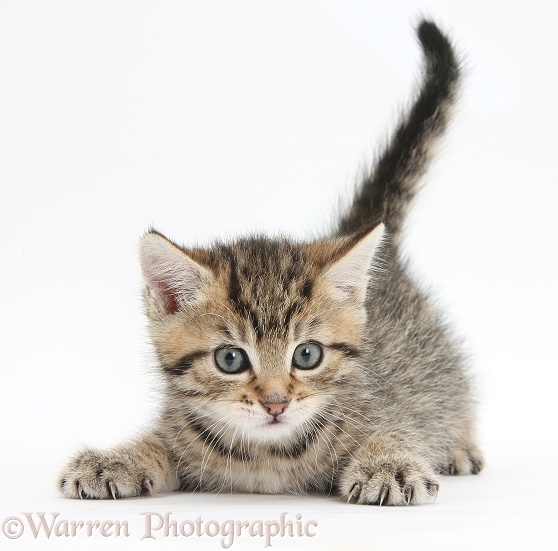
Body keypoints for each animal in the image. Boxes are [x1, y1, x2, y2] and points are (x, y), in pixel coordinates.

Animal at [59, 21, 484, 506]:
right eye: (230, 359)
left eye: (307, 354)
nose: (276, 403)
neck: (267, 456)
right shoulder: (182, 429)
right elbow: (157, 443)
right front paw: (114, 459)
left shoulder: (390, 404)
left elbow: (397, 429)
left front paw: (388, 463)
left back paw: (458, 446)